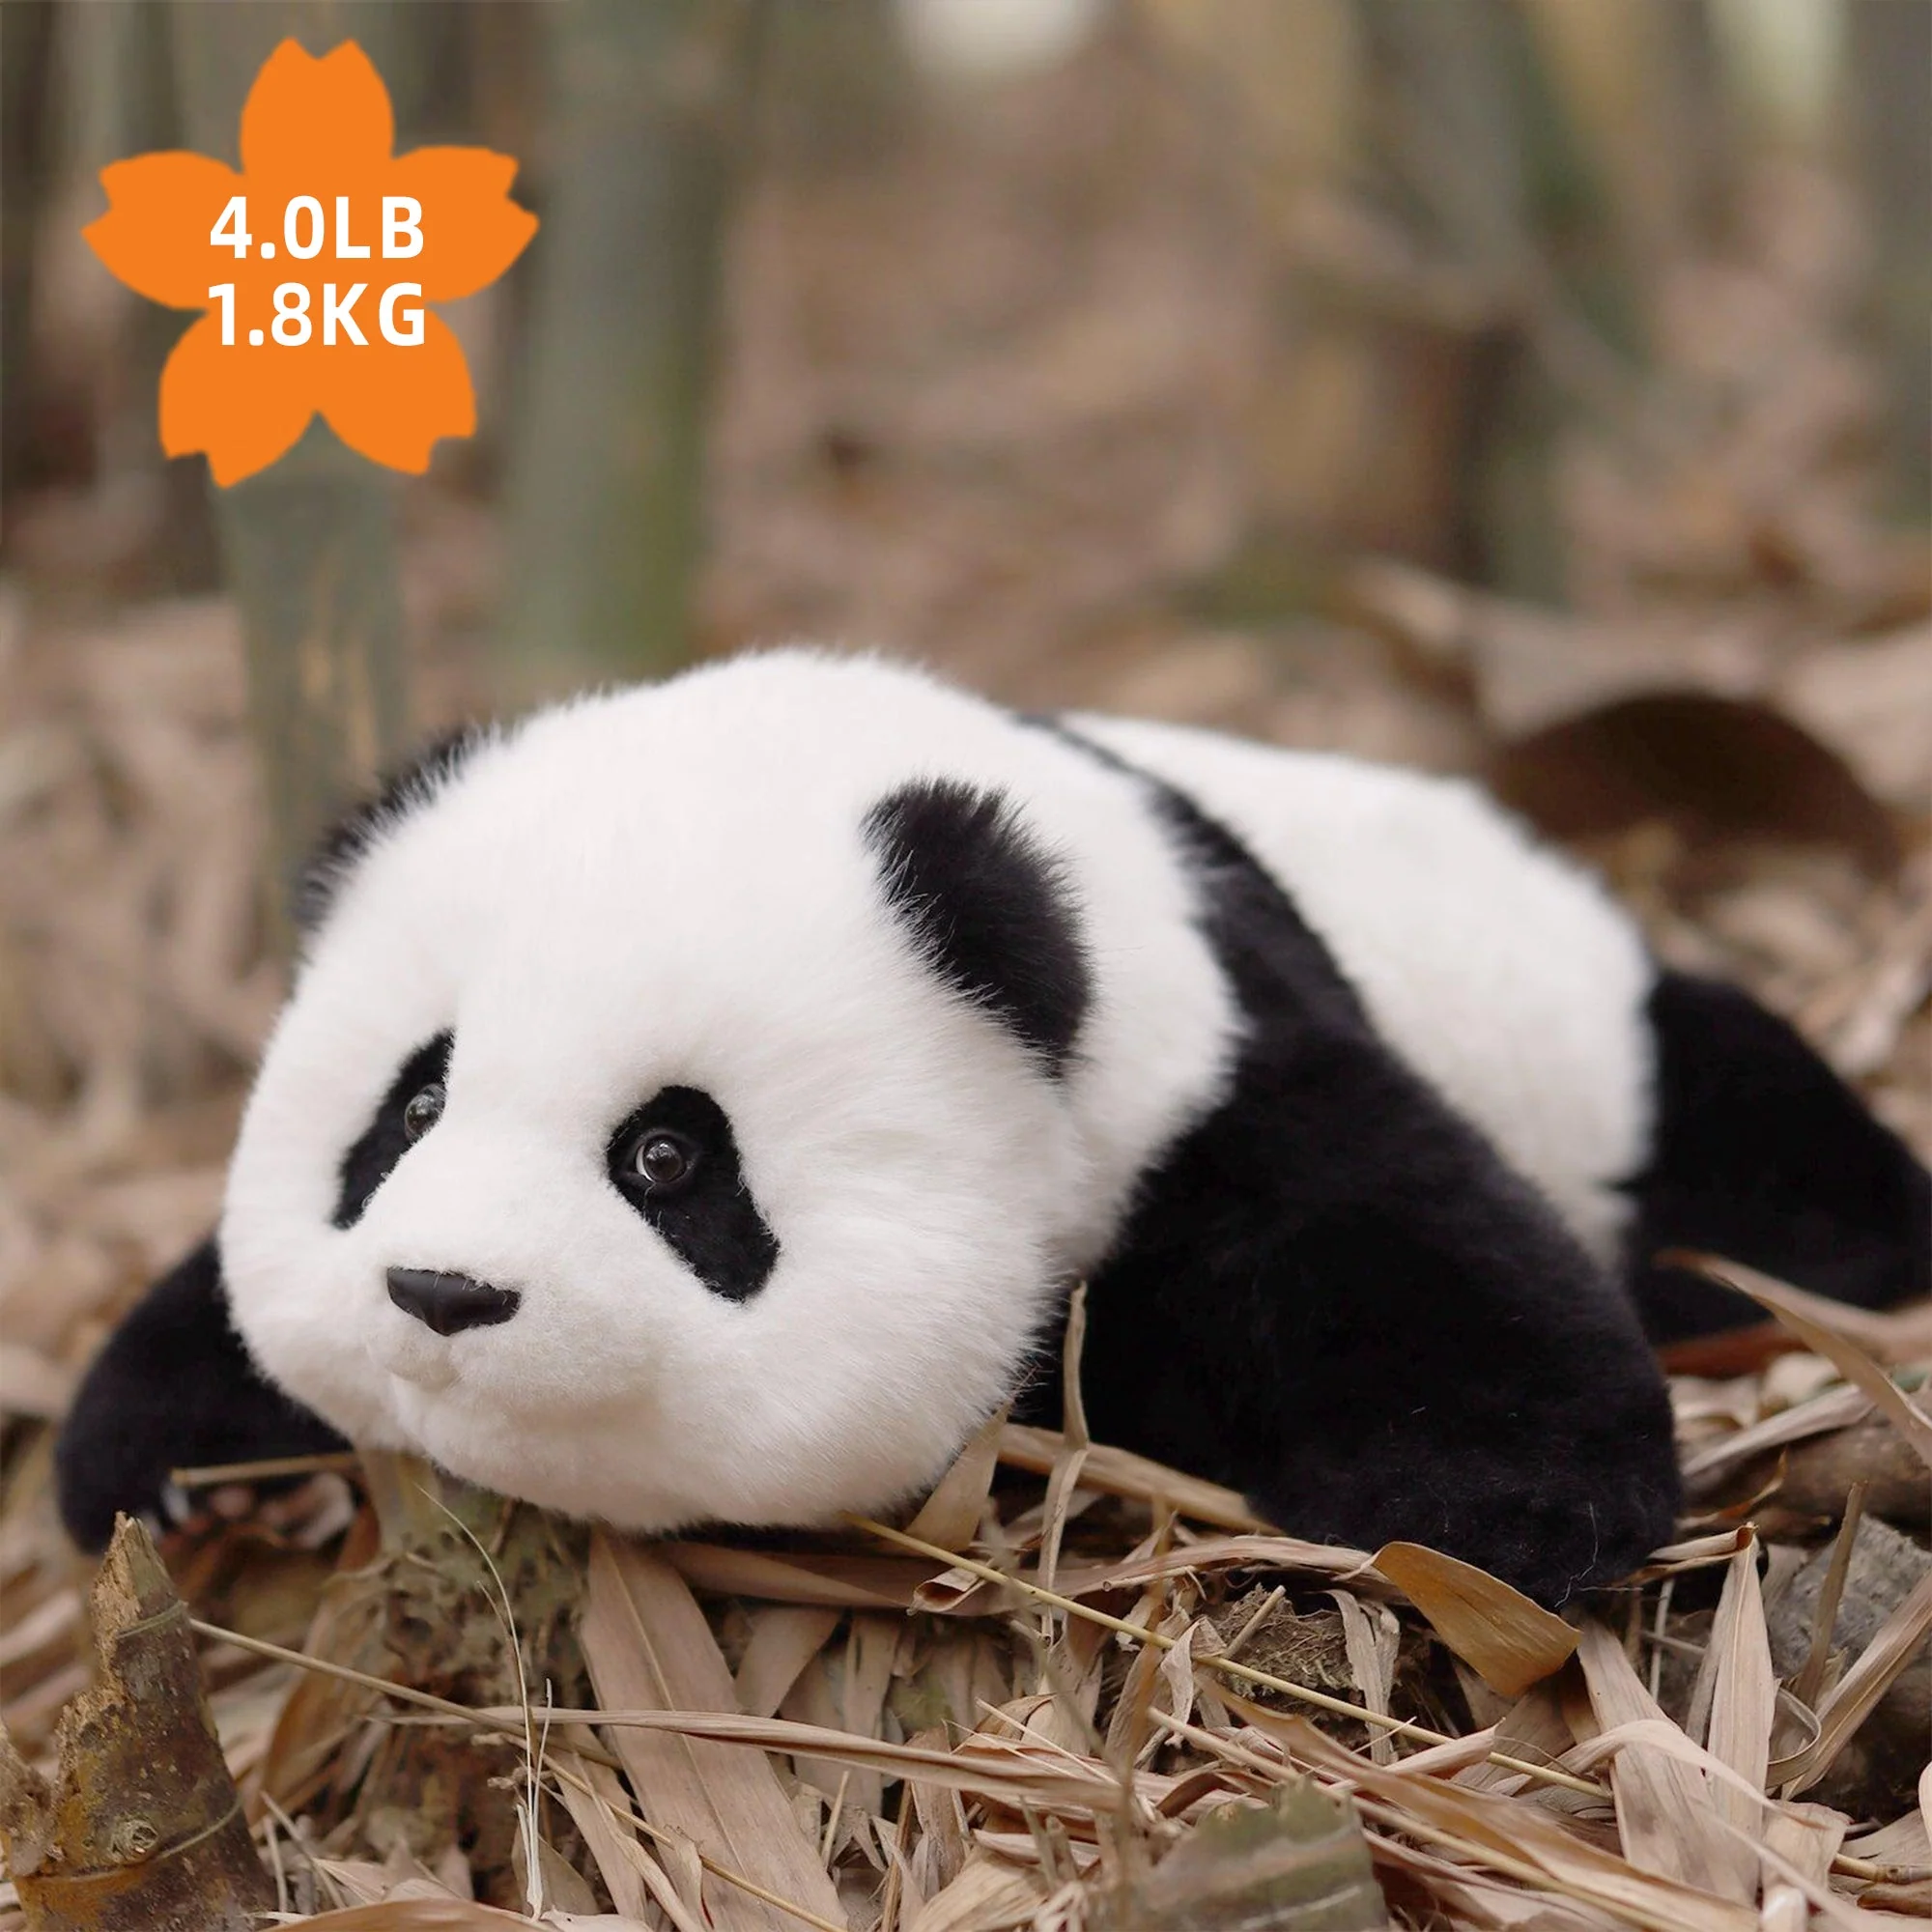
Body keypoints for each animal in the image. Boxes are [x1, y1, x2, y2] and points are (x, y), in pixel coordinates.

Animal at [54, 649, 1931, 1606]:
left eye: (669, 1157)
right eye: (416, 1102)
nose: (443, 1294)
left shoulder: (1198, 1054)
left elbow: (1395, 1244)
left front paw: (1496, 1521)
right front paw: (147, 1462)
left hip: (1613, 1038)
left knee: (1748, 1124)